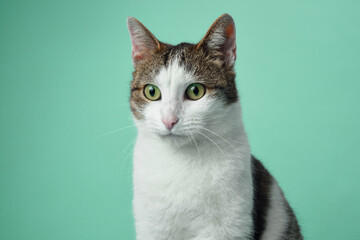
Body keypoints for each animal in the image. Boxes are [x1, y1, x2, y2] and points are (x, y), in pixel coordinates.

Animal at [127, 13, 304, 240]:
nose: (169, 120)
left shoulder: (227, 226)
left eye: (195, 91)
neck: (180, 161)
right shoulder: (152, 226)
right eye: (151, 92)